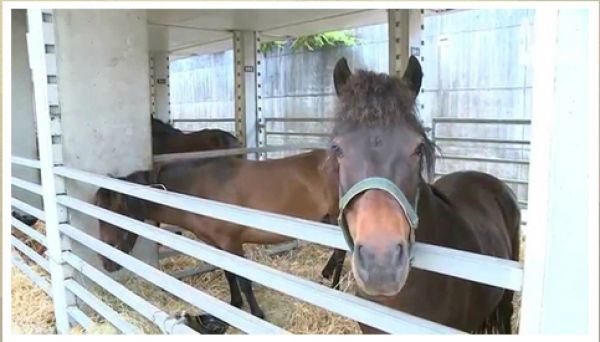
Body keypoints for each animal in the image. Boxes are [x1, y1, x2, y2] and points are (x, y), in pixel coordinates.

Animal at [93, 150, 338, 318]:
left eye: (118, 213)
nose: (106, 262)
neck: (199, 188)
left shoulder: (232, 243)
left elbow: (243, 279)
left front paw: (257, 313)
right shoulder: (218, 245)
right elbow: (229, 274)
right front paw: (235, 303)